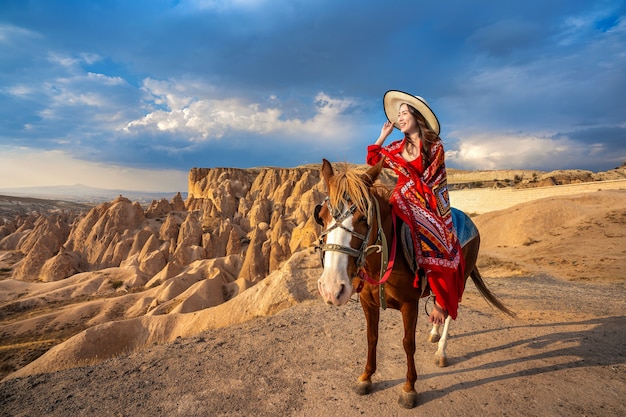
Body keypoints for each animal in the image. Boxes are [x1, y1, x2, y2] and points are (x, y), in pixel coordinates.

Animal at [312, 158, 512, 406]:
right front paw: (366, 377)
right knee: (440, 301)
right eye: (322, 217)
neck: (383, 260)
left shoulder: (410, 305)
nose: (331, 289)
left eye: (363, 218)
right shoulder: (368, 303)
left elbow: (408, 343)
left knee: (452, 309)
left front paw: (409, 388)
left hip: (461, 279)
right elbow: (371, 337)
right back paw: (434, 332)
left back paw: (441, 351)